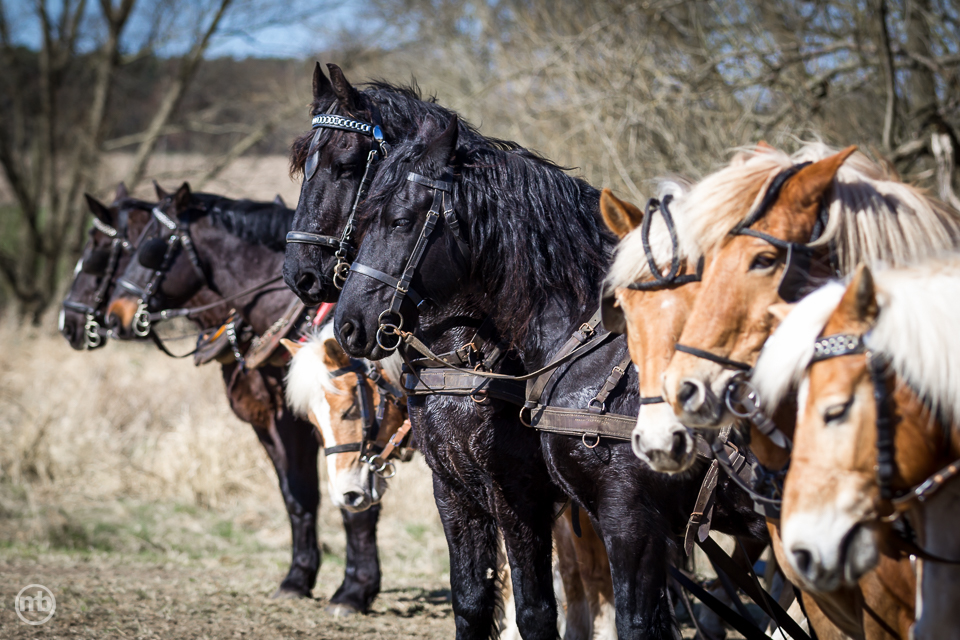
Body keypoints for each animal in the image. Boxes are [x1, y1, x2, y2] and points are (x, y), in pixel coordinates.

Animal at [78, 182, 378, 612]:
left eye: (149, 248)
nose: (115, 315)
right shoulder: (273, 422)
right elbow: (298, 496)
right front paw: (298, 578)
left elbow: (354, 499)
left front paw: (354, 590)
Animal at [330, 116, 764, 640]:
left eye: (399, 221)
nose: (348, 323)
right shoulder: (456, 494)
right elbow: (471, 602)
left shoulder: (563, 505)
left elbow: (549, 610)